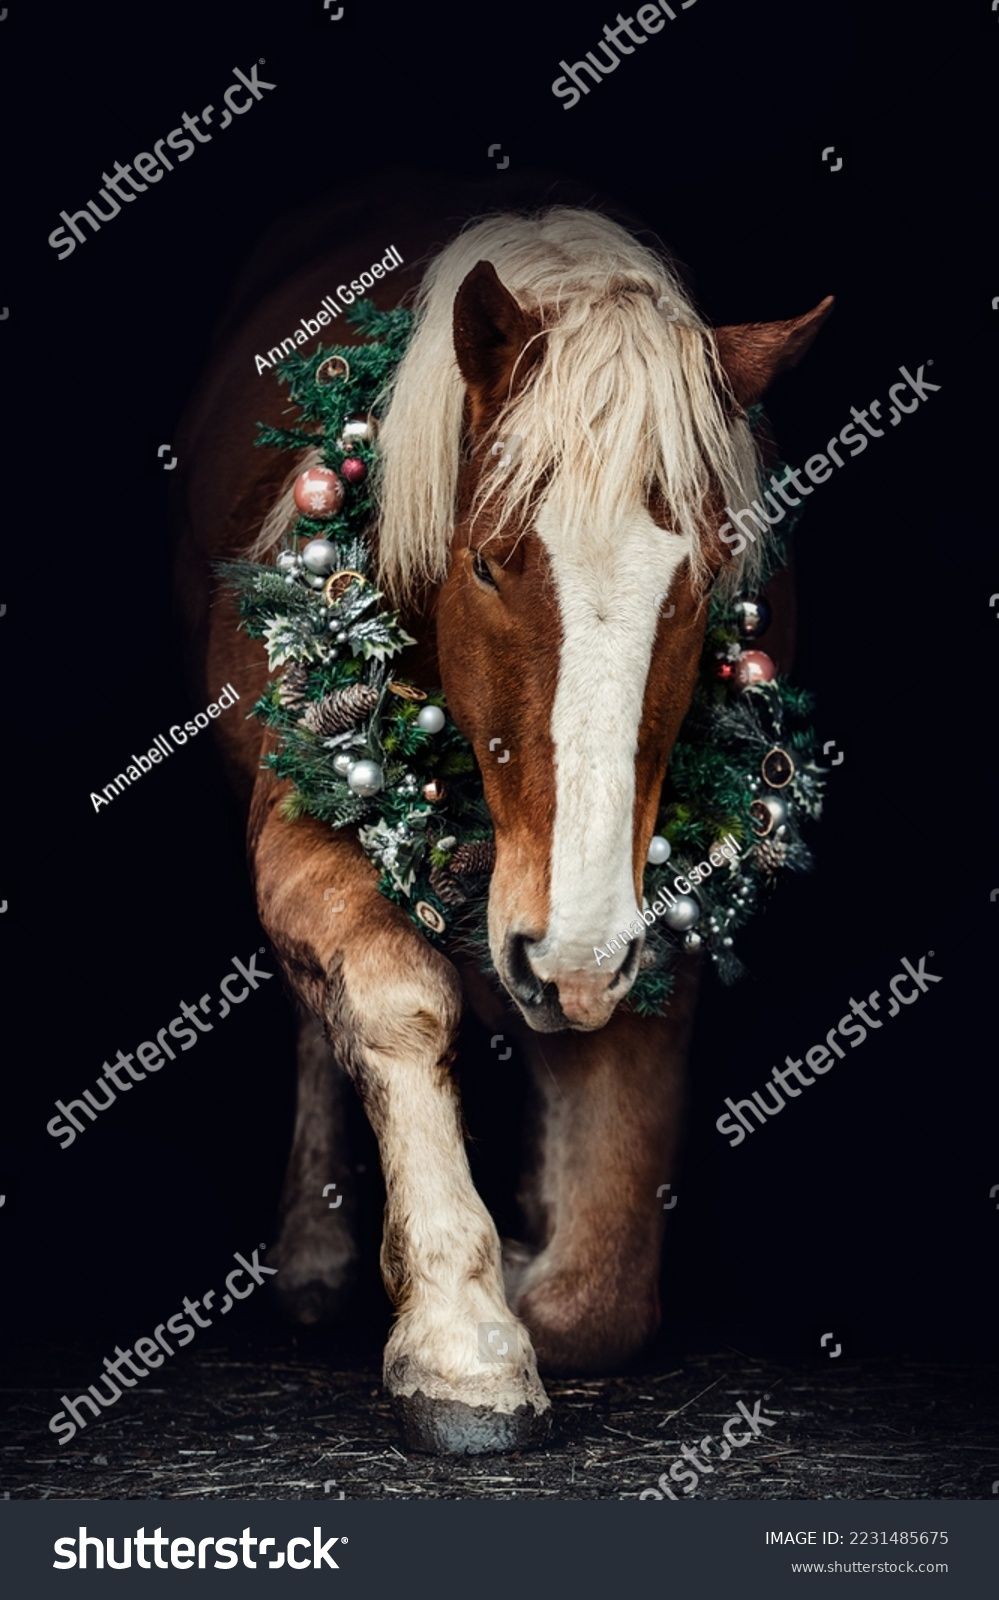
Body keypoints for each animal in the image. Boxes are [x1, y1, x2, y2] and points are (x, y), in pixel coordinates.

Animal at [175, 193, 832, 1459]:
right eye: (487, 563)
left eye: (705, 581)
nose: (566, 951)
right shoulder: (300, 822)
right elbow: (395, 999)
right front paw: (463, 1332)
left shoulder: (656, 903)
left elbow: (601, 1294)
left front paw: (532, 1268)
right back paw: (320, 1251)